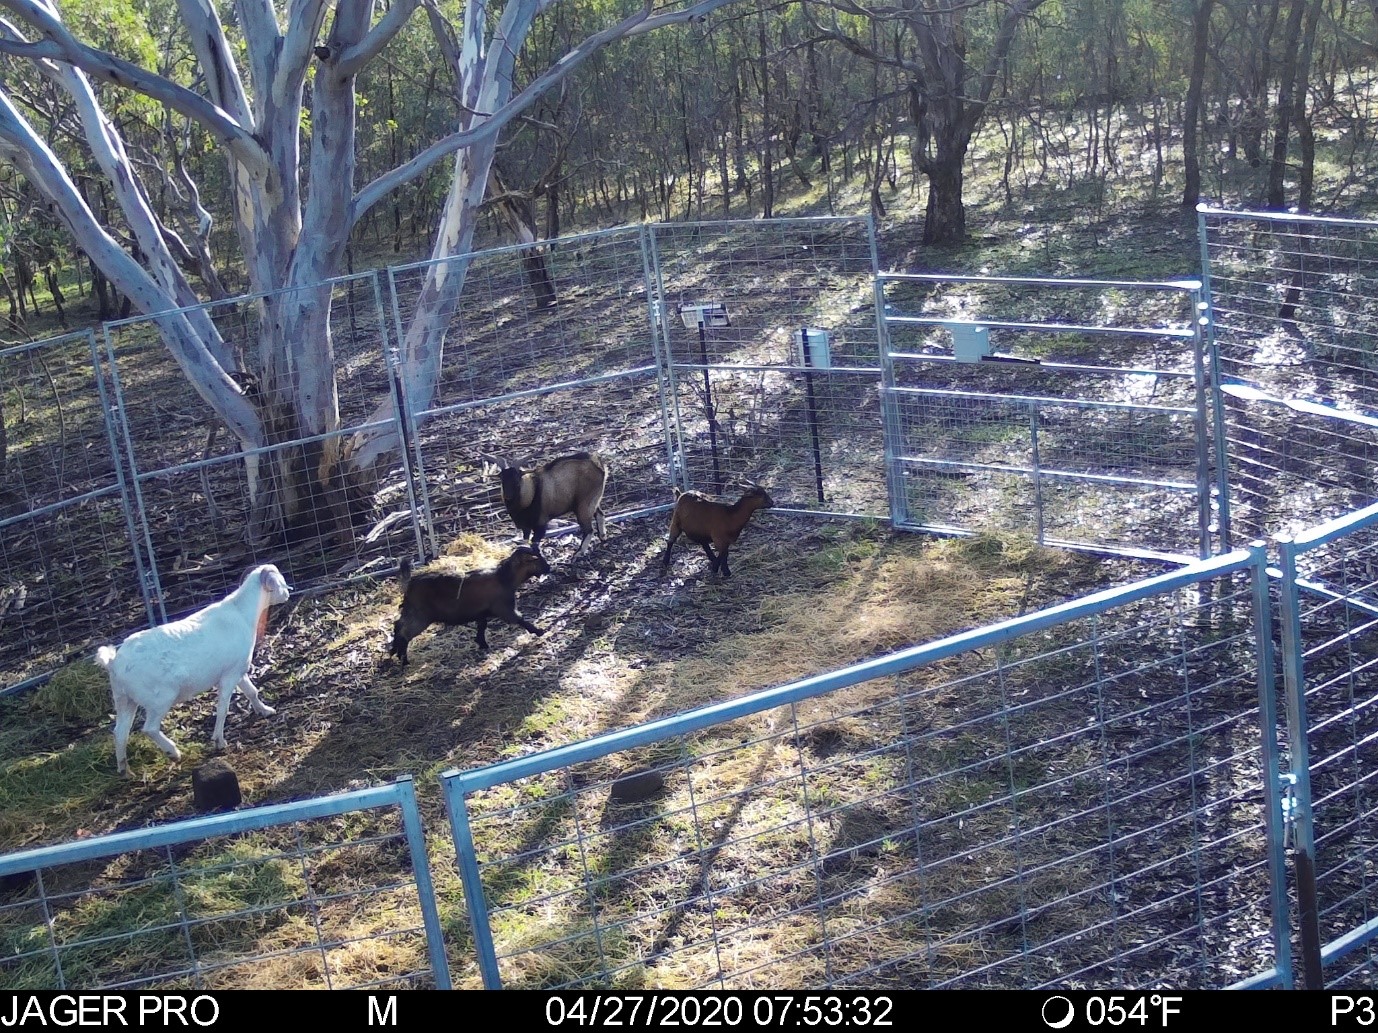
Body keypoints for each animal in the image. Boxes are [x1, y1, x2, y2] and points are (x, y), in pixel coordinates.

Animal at [97, 567, 293, 776]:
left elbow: (251, 691)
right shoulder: (228, 676)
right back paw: (173, 752)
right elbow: (222, 708)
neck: (242, 612)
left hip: (124, 699)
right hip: (160, 697)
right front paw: (219, 741)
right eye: (279, 580)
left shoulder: (237, 669)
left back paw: (125, 770)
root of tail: (114, 662)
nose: (288, 592)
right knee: (149, 728)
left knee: (120, 733)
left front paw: (265, 710)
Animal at [388, 545, 548, 666]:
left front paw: (482, 643)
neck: (504, 577)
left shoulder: (481, 613)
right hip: (421, 616)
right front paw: (539, 631)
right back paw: (404, 659)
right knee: (404, 632)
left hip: (411, 611)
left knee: (398, 625)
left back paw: (395, 652)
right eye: (537, 560)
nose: (548, 568)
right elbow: (520, 619)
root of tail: (409, 584)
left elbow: (482, 626)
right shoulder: (504, 608)